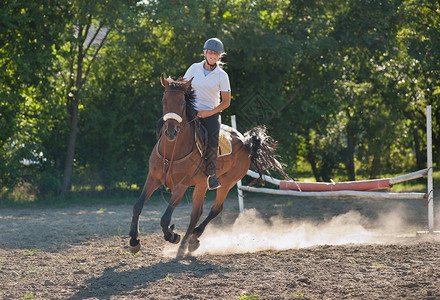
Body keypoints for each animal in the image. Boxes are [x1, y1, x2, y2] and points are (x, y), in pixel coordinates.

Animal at [129, 75, 288, 258]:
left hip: (227, 182)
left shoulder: (181, 186)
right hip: (201, 184)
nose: (170, 132)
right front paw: (134, 241)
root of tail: (246, 141)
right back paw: (188, 243)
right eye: (164, 101)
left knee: (215, 209)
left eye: (182, 103)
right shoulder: (153, 178)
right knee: (196, 213)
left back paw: (189, 241)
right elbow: (137, 206)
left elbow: (165, 218)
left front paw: (173, 235)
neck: (172, 152)